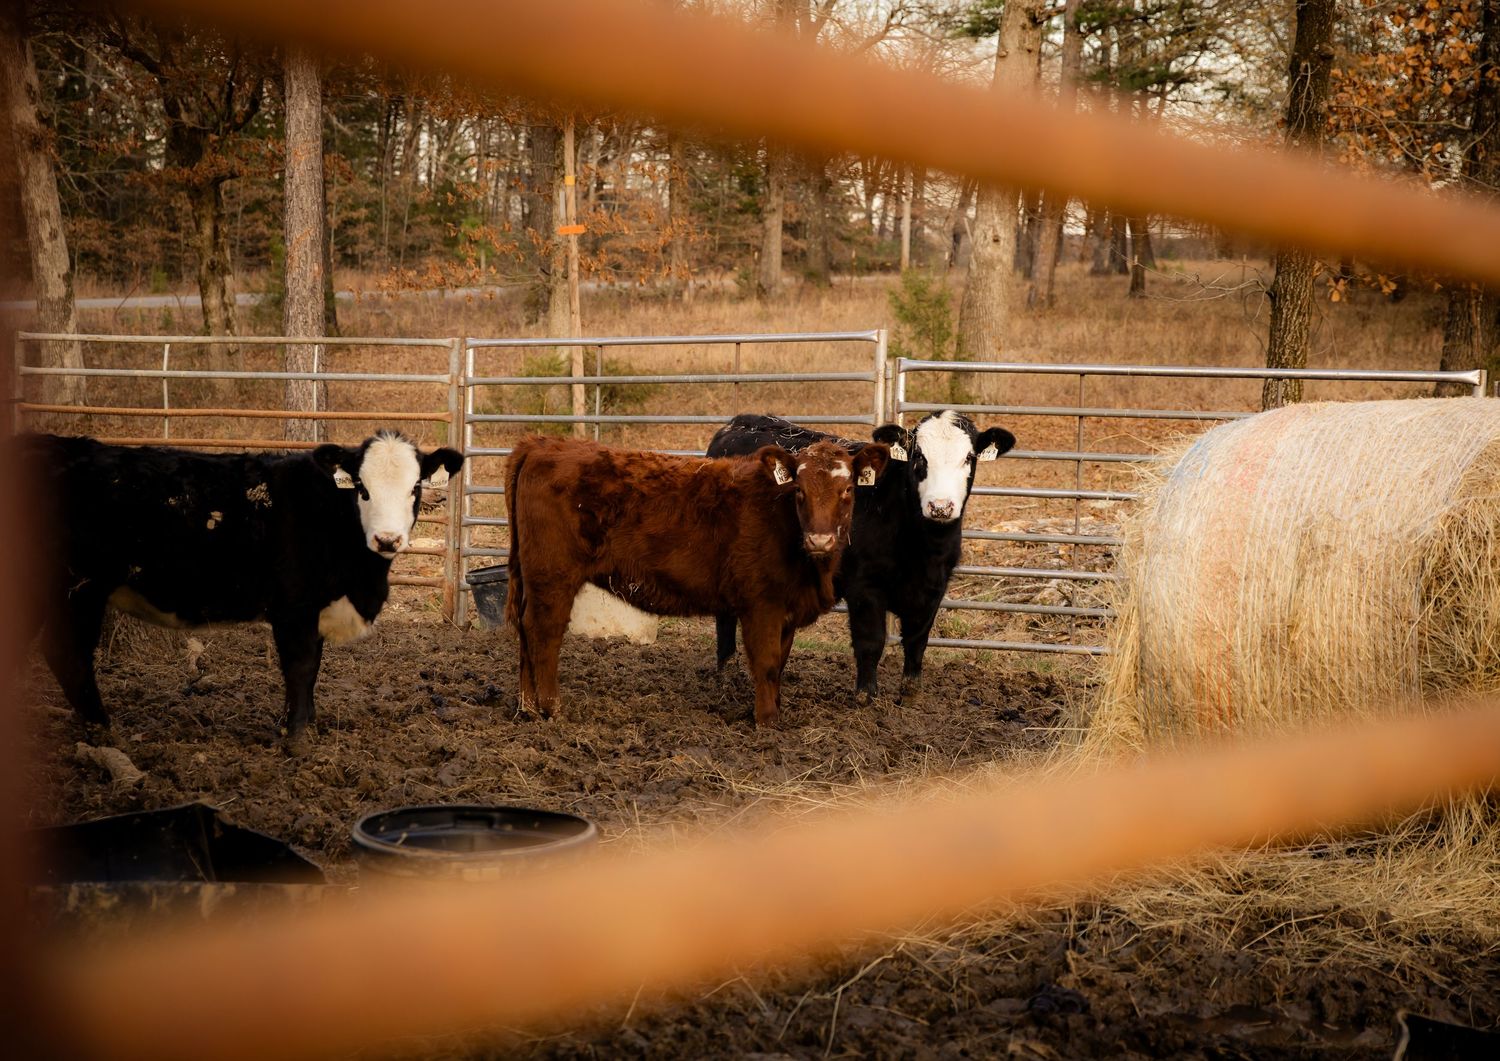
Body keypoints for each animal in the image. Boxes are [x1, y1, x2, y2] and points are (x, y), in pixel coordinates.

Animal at [18, 431, 464, 748]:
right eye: (361, 487)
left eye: (414, 488)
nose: (387, 540)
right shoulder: (294, 608)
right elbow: (301, 668)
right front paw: (296, 738)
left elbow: (313, 668)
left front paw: (303, 724)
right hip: (79, 589)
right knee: (69, 654)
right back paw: (103, 729)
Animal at [504, 435, 890, 725]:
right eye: (800, 490)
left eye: (848, 490)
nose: (820, 540)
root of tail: (542, 444)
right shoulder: (761, 605)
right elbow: (766, 664)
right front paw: (766, 721)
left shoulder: (787, 610)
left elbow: (780, 664)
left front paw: (775, 712)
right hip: (553, 575)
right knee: (544, 631)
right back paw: (551, 708)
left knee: (524, 630)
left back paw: (527, 708)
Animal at [707, 411, 1015, 705]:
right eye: (919, 456)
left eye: (969, 458)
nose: (940, 506)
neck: (921, 547)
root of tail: (740, 424)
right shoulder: (864, 587)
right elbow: (871, 641)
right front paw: (866, 696)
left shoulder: (933, 588)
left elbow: (917, 640)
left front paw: (911, 695)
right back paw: (727, 676)